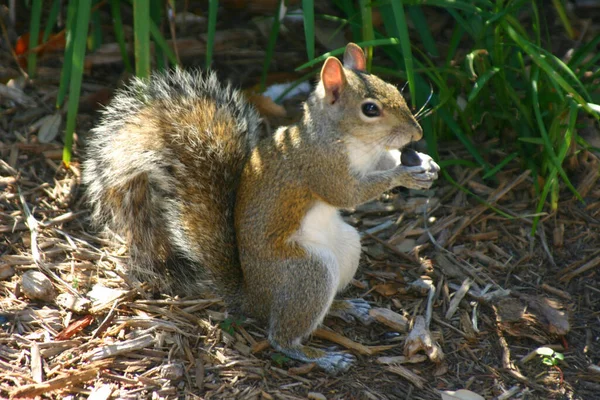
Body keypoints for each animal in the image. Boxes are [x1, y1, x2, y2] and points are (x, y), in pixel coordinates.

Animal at [82, 42, 440, 374]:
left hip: (347, 248)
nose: (418, 133)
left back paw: (345, 307)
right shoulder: (320, 168)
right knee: (281, 335)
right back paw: (323, 356)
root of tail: (252, 297)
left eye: (395, 89)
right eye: (370, 109)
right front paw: (404, 174)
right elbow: (348, 194)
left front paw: (425, 162)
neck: (352, 141)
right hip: (306, 272)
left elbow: (383, 162)